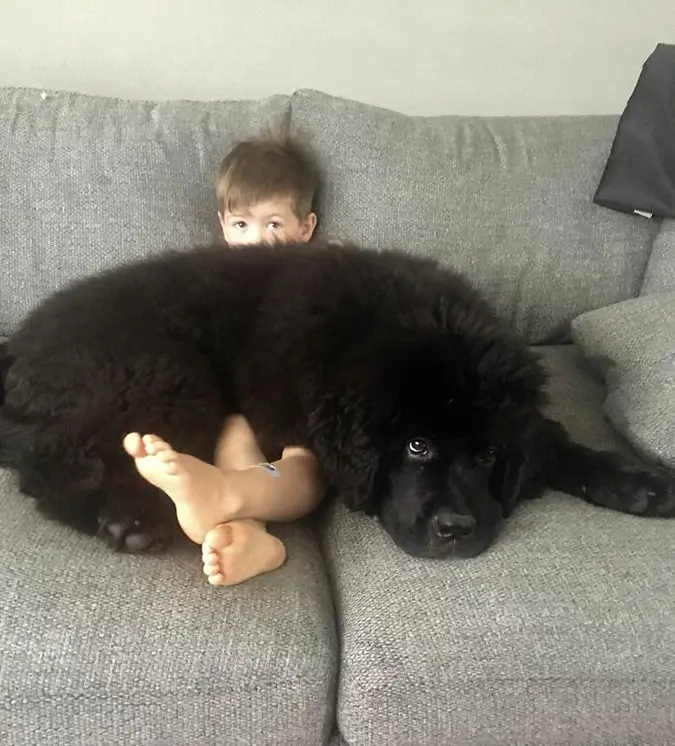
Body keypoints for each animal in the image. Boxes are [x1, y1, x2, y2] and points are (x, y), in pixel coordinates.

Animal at [0, 241, 672, 556]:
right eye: (416, 446)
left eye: (487, 457)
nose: (455, 528)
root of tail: (19, 343)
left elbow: (553, 441)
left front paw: (636, 482)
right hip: (165, 376)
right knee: (56, 465)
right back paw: (132, 520)